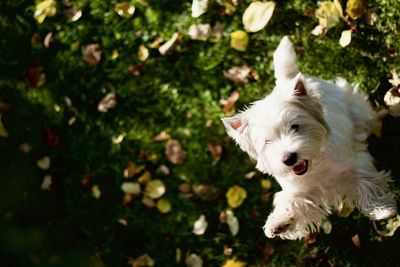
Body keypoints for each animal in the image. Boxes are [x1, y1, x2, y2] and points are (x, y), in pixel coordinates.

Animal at [222, 36, 396, 241]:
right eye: (267, 142)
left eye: (295, 127)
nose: (289, 158)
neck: (315, 166)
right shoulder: (301, 191)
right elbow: (292, 203)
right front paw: (279, 224)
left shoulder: (354, 164)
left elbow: (367, 182)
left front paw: (381, 209)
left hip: (353, 101)